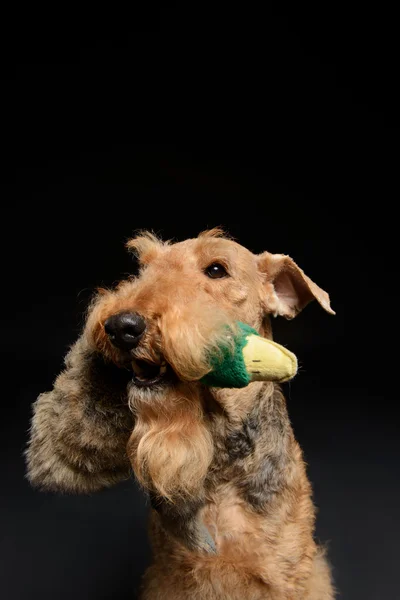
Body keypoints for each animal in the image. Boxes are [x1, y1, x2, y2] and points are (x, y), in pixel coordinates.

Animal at [25, 227, 334, 596]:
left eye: (216, 269)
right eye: (143, 268)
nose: (121, 326)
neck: (223, 464)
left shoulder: (285, 576)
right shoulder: (172, 574)